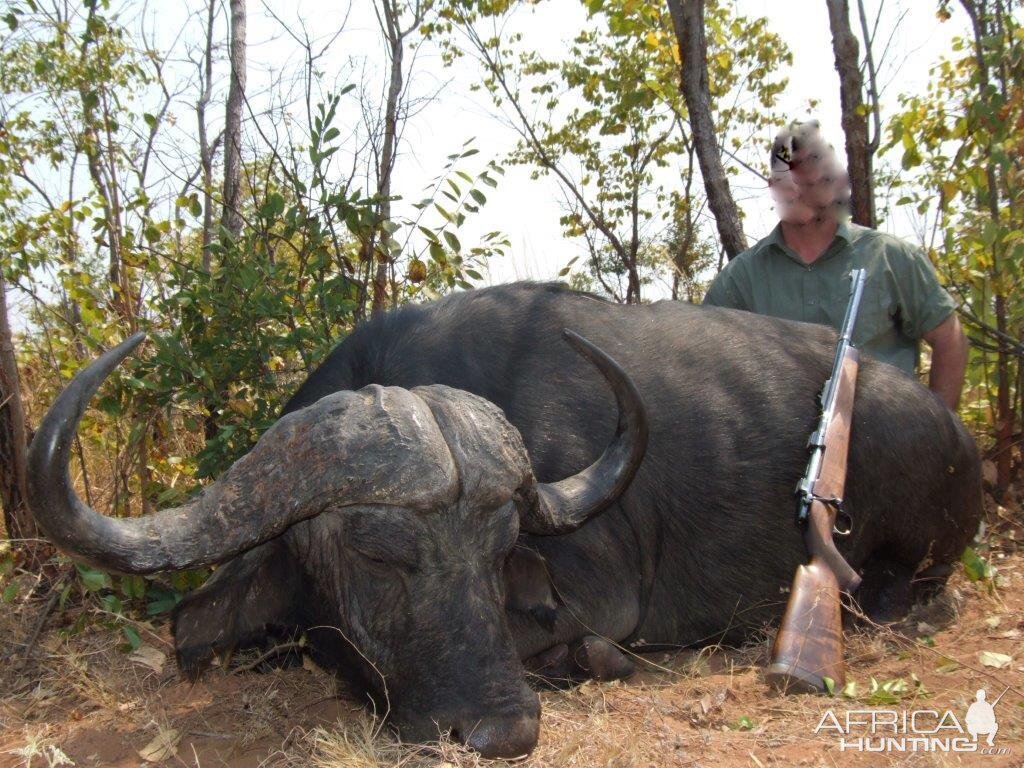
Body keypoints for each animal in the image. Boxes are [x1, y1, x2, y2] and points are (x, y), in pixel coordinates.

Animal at [28, 282, 978, 757]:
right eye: (379, 556)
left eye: (498, 553)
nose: (503, 731)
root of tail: (955, 432)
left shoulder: (605, 596)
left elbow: (583, 639)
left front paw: (589, 662)